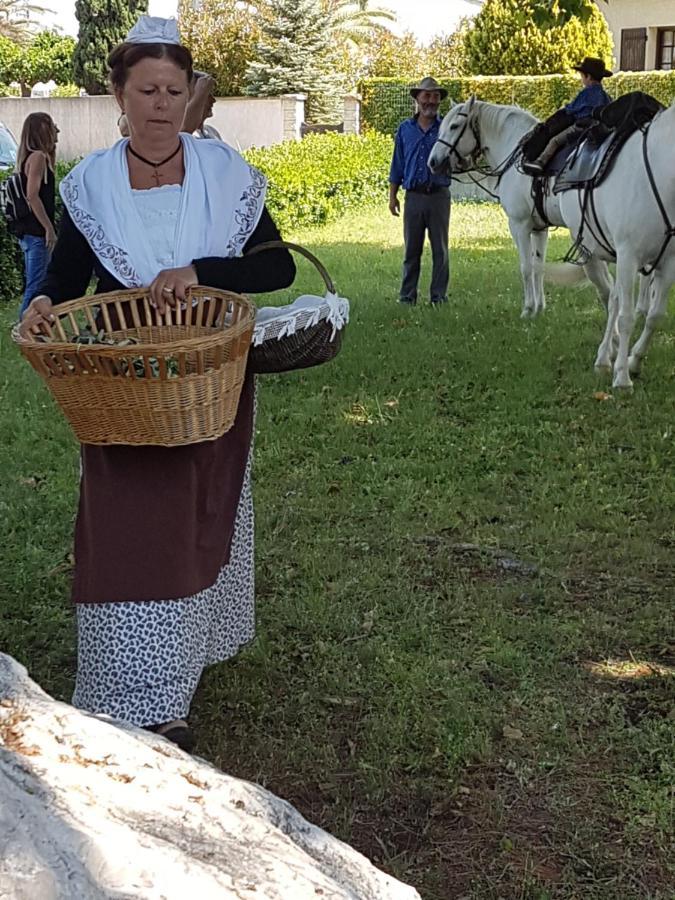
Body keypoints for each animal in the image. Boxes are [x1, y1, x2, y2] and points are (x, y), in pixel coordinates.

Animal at [430, 98, 616, 320]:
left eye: (454, 126)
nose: (432, 162)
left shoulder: (519, 225)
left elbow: (526, 267)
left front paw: (527, 309)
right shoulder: (539, 229)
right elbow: (537, 266)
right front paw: (539, 308)